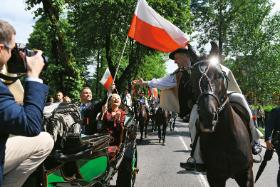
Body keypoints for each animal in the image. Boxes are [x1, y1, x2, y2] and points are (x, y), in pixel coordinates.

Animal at [190, 42, 254, 187]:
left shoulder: (246, 174)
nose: (208, 116)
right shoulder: (215, 177)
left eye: (219, 75)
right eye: (193, 77)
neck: (225, 137)